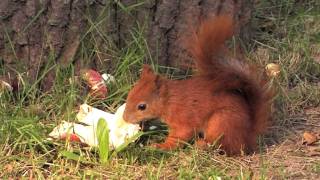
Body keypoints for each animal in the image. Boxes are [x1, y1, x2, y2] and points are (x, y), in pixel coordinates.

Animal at [122, 15, 272, 155]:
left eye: (142, 106)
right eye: (129, 95)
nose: (125, 118)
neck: (169, 101)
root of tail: (249, 135)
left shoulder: (183, 119)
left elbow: (179, 136)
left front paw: (160, 146)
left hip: (220, 122)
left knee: (226, 147)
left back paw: (203, 145)